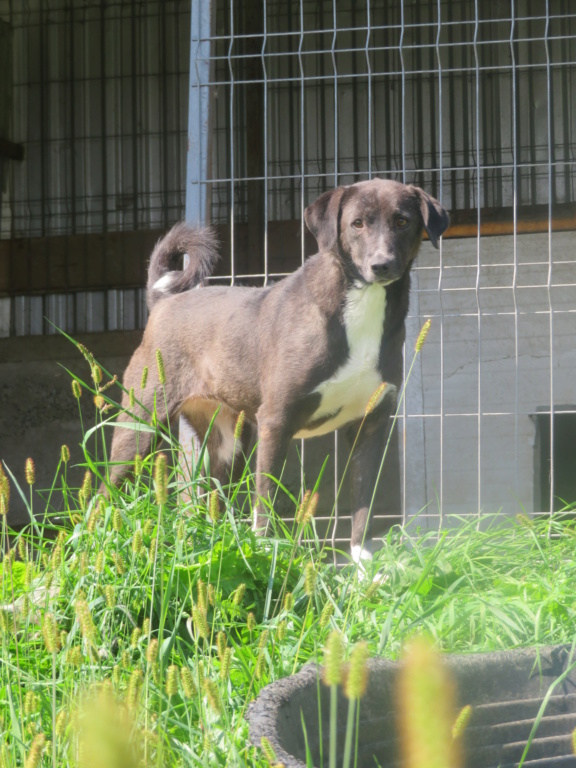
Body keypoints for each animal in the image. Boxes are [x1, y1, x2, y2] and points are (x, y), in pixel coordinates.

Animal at [103, 181, 450, 564]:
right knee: (103, 494)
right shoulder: (276, 422)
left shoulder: (370, 427)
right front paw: (267, 556)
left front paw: (365, 571)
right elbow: (265, 503)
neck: (359, 309)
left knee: (209, 503)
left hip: (227, 445)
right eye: (357, 223)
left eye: (402, 221)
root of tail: (163, 302)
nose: (382, 265)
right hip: (141, 424)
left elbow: (363, 515)